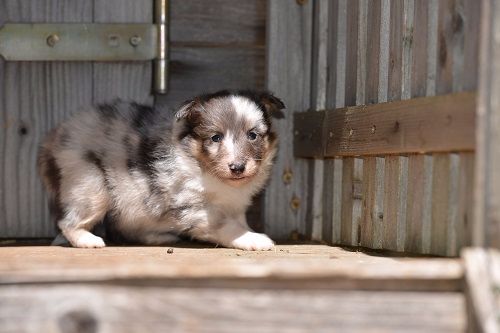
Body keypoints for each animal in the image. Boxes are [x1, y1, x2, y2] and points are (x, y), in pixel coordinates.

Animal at [36, 89, 284, 248]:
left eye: (252, 135)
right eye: (215, 137)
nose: (237, 168)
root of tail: (53, 138)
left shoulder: (235, 205)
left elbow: (239, 220)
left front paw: (250, 232)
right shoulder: (193, 206)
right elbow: (227, 226)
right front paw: (253, 239)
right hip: (91, 187)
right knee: (67, 222)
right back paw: (88, 240)